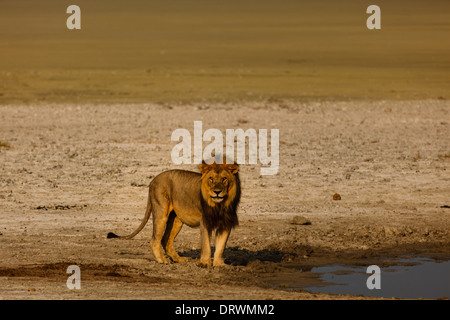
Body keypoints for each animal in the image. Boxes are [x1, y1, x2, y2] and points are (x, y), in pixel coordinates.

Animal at [107, 160, 241, 268]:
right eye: (211, 179)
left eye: (224, 179)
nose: (217, 192)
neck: (220, 205)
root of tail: (153, 180)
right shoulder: (205, 222)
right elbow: (206, 245)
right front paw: (204, 264)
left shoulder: (225, 224)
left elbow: (221, 246)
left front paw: (220, 265)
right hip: (161, 211)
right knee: (155, 239)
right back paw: (162, 260)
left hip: (176, 219)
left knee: (166, 240)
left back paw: (179, 259)